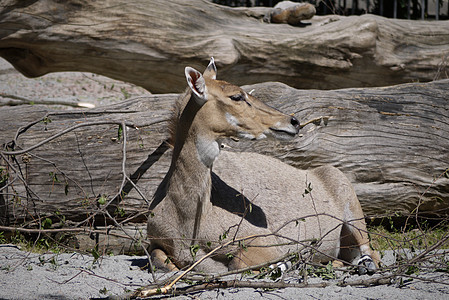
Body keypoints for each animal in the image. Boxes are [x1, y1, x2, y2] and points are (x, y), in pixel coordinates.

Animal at [148, 58, 378, 274]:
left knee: (371, 253)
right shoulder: (155, 243)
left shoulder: (264, 242)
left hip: (354, 216)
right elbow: (159, 260)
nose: (294, 121)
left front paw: (285, 264)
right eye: (237, 96)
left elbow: (237, 263)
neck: (186, 219)